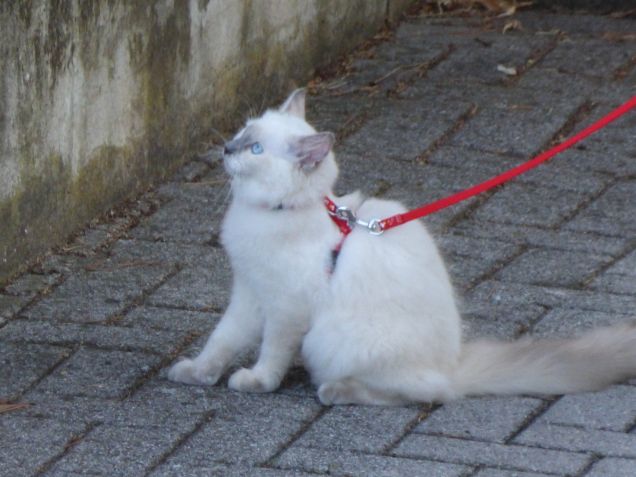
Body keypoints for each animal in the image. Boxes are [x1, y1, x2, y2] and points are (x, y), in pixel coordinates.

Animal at [169, 88, 636, 402]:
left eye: (255, 149)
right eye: (243, 134)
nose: (227, 149)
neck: (268, 214)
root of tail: (453, 365)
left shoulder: (285, 308)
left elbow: (270, 354)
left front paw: (255, 382)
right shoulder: (249, 293)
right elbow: (221, 341)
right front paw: (196, 373)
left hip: (330, 337)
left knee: (422, 392)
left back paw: (335, 390)